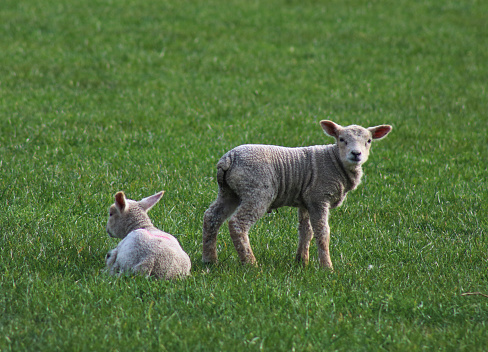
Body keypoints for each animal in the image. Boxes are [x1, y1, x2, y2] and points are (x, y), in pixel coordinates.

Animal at [202, 119, 392, 270]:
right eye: (342, 140)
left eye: (368, 141)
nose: (356, 154)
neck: (334, 161)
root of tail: (229, 158)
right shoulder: (319, 197)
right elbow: (323, 232)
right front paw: (327, 267)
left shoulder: (307, 201)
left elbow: (306, 231)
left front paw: (302, 261)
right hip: (257, 192)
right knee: (237, 223)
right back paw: (250, 263)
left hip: (228, 192)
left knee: (211, 217)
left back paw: (210, 260)